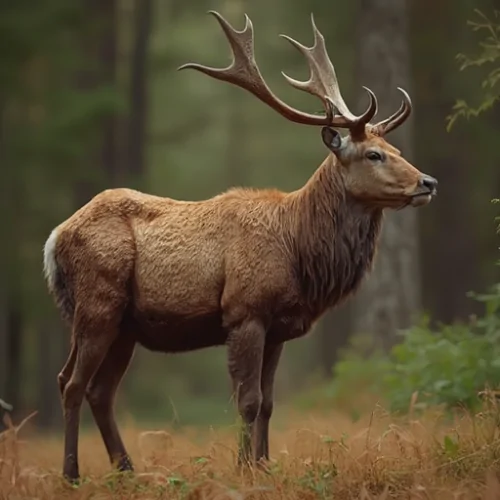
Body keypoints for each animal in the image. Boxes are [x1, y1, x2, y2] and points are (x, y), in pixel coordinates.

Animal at [42, 10, 434, 480]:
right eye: (374, 154)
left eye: (395, 148)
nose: (427, 182)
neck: (300, 251)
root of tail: (55, 237)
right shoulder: (245, 310)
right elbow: (248, 401)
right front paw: (244, 470)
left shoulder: (280, 326)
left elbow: (268, 404)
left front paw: (264, 467)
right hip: (97, 303)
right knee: (71, 383)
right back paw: (71, 474)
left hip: (125, 326)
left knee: (99, 390)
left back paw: (127, 471)